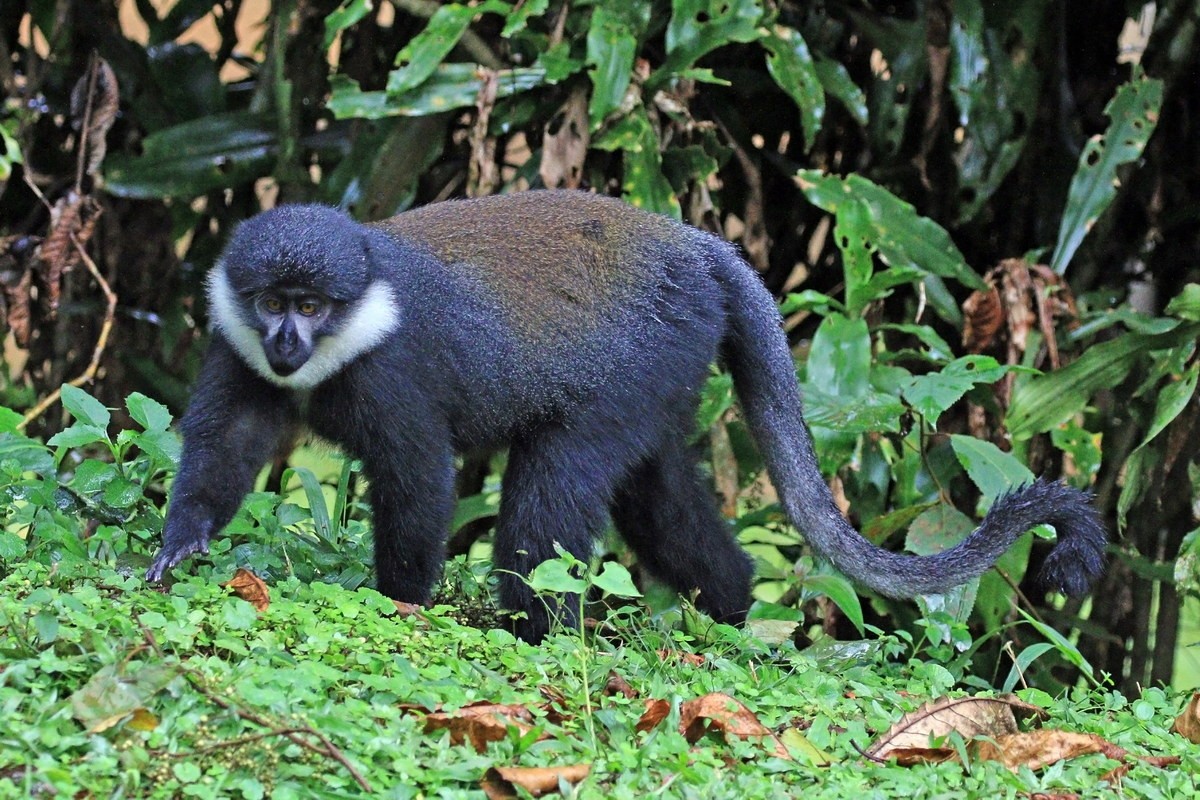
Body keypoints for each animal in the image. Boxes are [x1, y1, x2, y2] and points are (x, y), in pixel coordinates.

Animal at [142, 190, 1104, 642]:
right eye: (272, 301)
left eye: (310, 304)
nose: (286, 340)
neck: (349, 327)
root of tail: (696, 244)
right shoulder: (236, 348)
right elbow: (228, 446)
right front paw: (177, 548)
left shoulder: (393, 378)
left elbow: (420, 482)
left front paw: (399, 607)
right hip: (668, 376)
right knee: (657, 497)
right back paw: (731, 609)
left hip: (639, 365)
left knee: (551, 495)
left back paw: (539, 635)